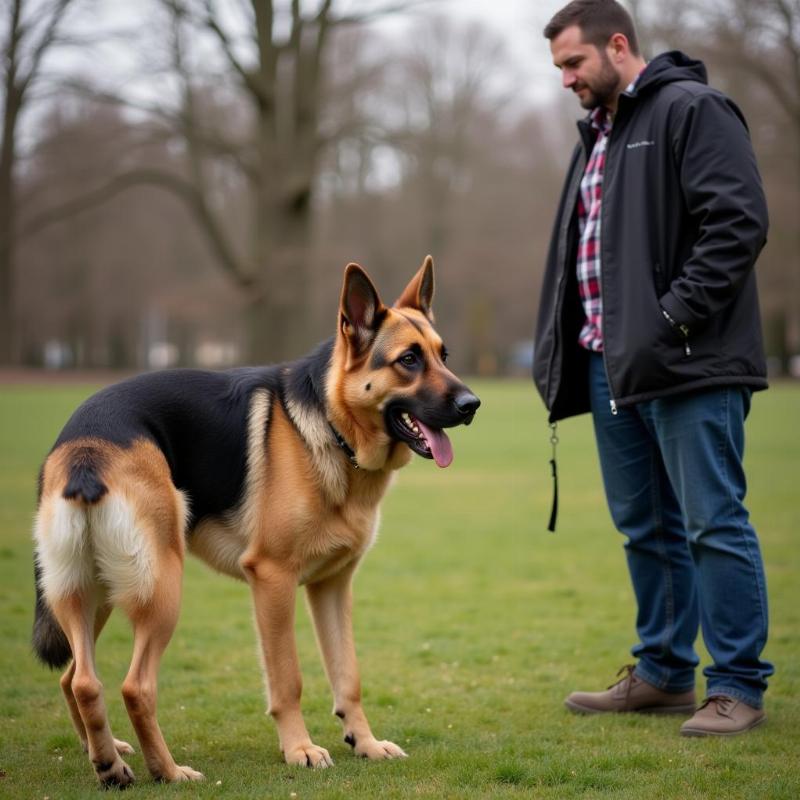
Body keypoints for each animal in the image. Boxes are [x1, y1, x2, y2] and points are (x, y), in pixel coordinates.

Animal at [32, 258, 476, 788]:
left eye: (443, 355)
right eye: (408, 360)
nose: (472, 405)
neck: (332, 427)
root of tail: (85, 449)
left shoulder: (332, 586)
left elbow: (348, 675)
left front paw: (365, 743)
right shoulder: (273, 580)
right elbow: (288, 679)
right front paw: (300, 749)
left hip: (92, 592)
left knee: (78, 679)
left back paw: (108, 762)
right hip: (162, 589)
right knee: (134, 686)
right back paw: (168, 771)